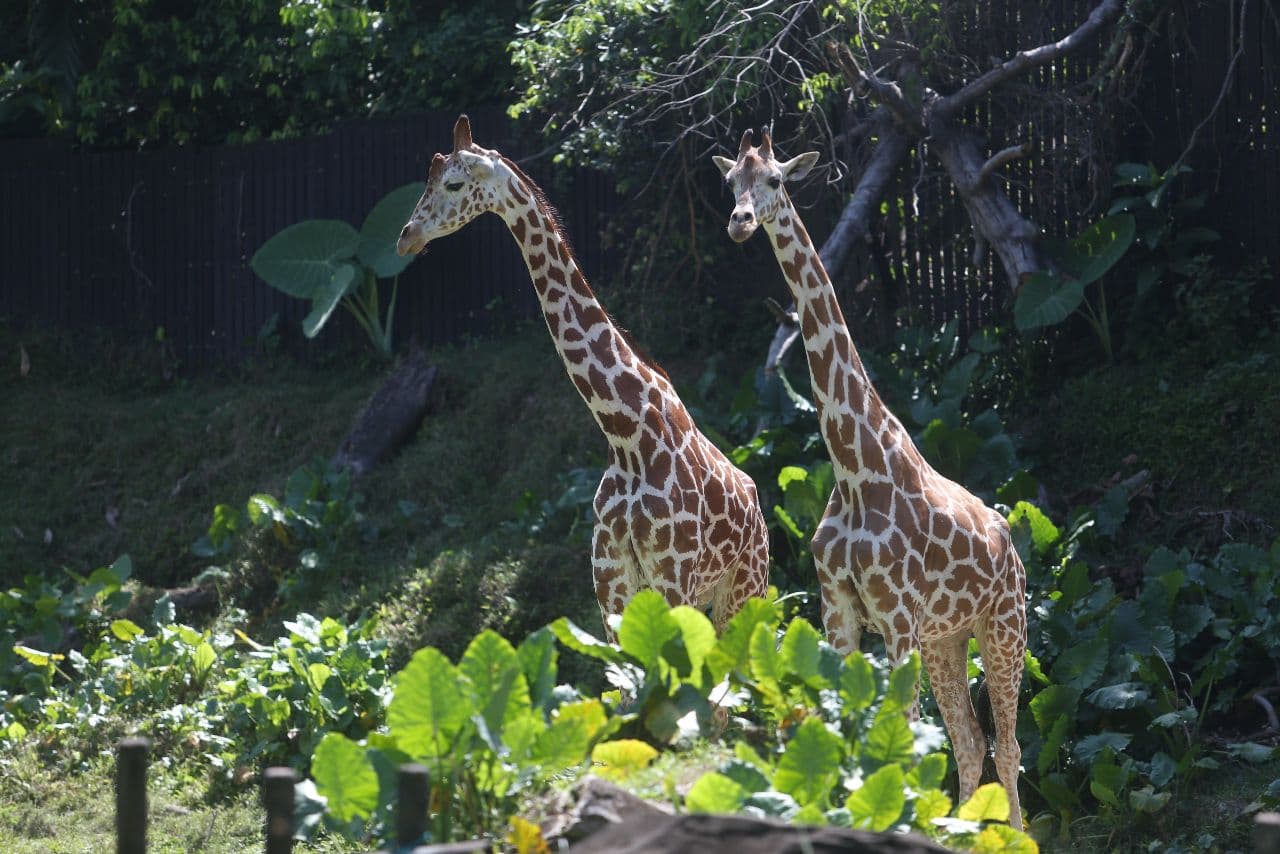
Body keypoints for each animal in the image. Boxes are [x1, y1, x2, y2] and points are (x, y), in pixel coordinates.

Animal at [391, 115, 768, 640]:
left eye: (453, 184)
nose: (406, 236)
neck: (627, 436)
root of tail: (760, 515)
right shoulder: (612, 586)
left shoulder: (673, 576)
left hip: (745, 590)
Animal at [711, 126, 1029, 829]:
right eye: (730, 182)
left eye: (776, 180)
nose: (740, 222)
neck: (854, 467)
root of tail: (1014, 550)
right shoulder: (841, 612)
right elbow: (846, 736)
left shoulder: (899, 620)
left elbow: (901, 746)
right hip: (949, 639)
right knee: (971, 743)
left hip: (1003, 626)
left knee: (1009, 744)